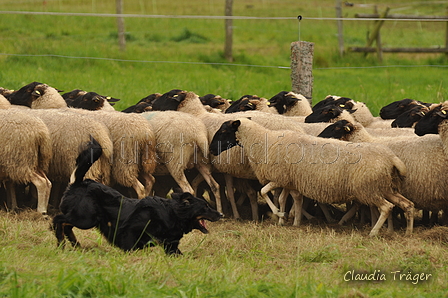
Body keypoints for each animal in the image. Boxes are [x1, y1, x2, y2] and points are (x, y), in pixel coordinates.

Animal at [51, 139, 223, 255]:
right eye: (205, 207)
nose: (221, 214)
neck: (172, 213)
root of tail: (79, 183)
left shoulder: (171, 246)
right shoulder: (130, 234)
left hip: (84, 217)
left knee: (67, 225)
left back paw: (76, 245)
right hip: (86, 218)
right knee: (59, 220)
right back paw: (61, 244)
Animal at [208, 117, 414, 236]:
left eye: (225, 131)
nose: (210, 150)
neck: (264, 141)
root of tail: (392, 158)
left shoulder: (279, 177)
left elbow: (265, 192)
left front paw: (280, 214)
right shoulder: (289, 180)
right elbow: (285, 199)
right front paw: (287, 220)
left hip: (369, 189)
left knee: (386, 207)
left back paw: (373, 232)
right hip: (385, 187)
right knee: (406, 205)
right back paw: (406, 232)